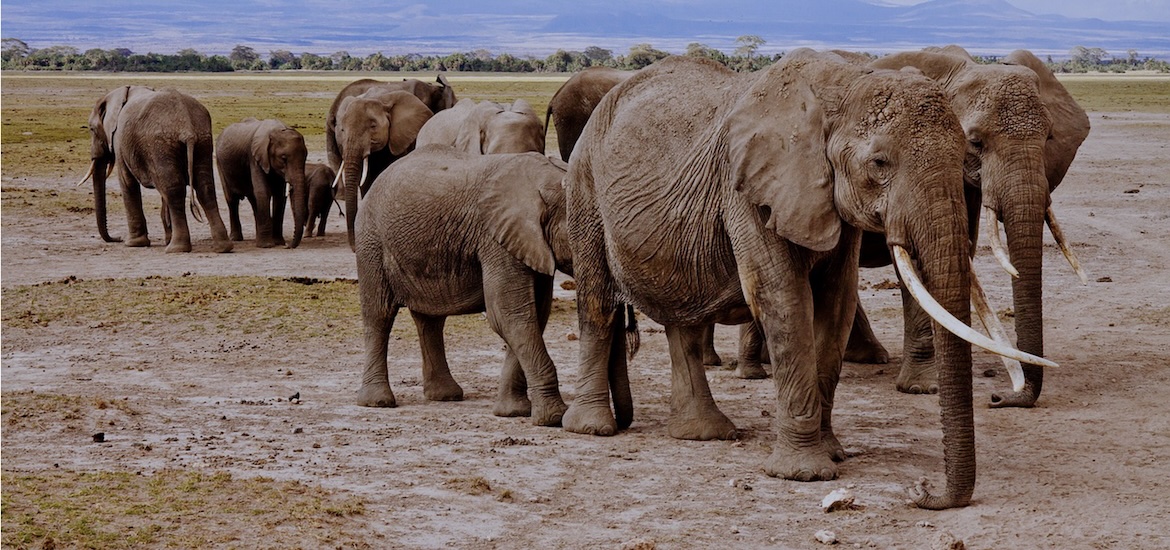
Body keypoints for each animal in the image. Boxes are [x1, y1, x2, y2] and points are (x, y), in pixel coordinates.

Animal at [79, 85, 232, 253]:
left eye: (92, 129)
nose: (117, 238)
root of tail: (187, 126)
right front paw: (166, 239)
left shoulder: (120, 140)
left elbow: (127, 182)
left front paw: (133, 244)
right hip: (203, 141)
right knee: (204, 188)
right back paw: (222, 247)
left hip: (160, 143)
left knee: (174, 191)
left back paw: (176, 248)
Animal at [216, 118, 309, 249]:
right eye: (283, 158)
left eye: (305, 157)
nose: (288, 246)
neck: (276, 130)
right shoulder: (255, 157)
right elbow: (263, 192)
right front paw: (266, 245)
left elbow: (279, 196)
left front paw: (278, 242)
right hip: (220, 164)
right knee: (232, 200)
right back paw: (236, 238)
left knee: (253, 199)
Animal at [327, 88, 433, 250]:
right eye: (342, 130)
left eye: (373, 126)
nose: (353, 247)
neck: (380, 100)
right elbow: (365, 182)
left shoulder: (400, 138)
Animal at [354, 144, 572, 426]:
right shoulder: (496, 239)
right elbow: (510, 315)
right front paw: (554, 418)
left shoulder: (530, 244)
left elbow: (533, 315)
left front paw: (513, 412)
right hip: (371, 240)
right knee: (379, 314)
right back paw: (377, 402)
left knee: (430, 320)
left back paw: (445, 396)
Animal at [563, 50, 1054, 509]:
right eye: (879, 163)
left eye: (963, 153)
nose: (923, 490)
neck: (840, 87)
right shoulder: (749, 191)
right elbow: (784, 300)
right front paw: (805, 473)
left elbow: (836, 303)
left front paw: (833, 452)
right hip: (584, 186)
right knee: (597, 301)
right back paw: (593, 427)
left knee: (681, 318)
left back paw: (702, 433)